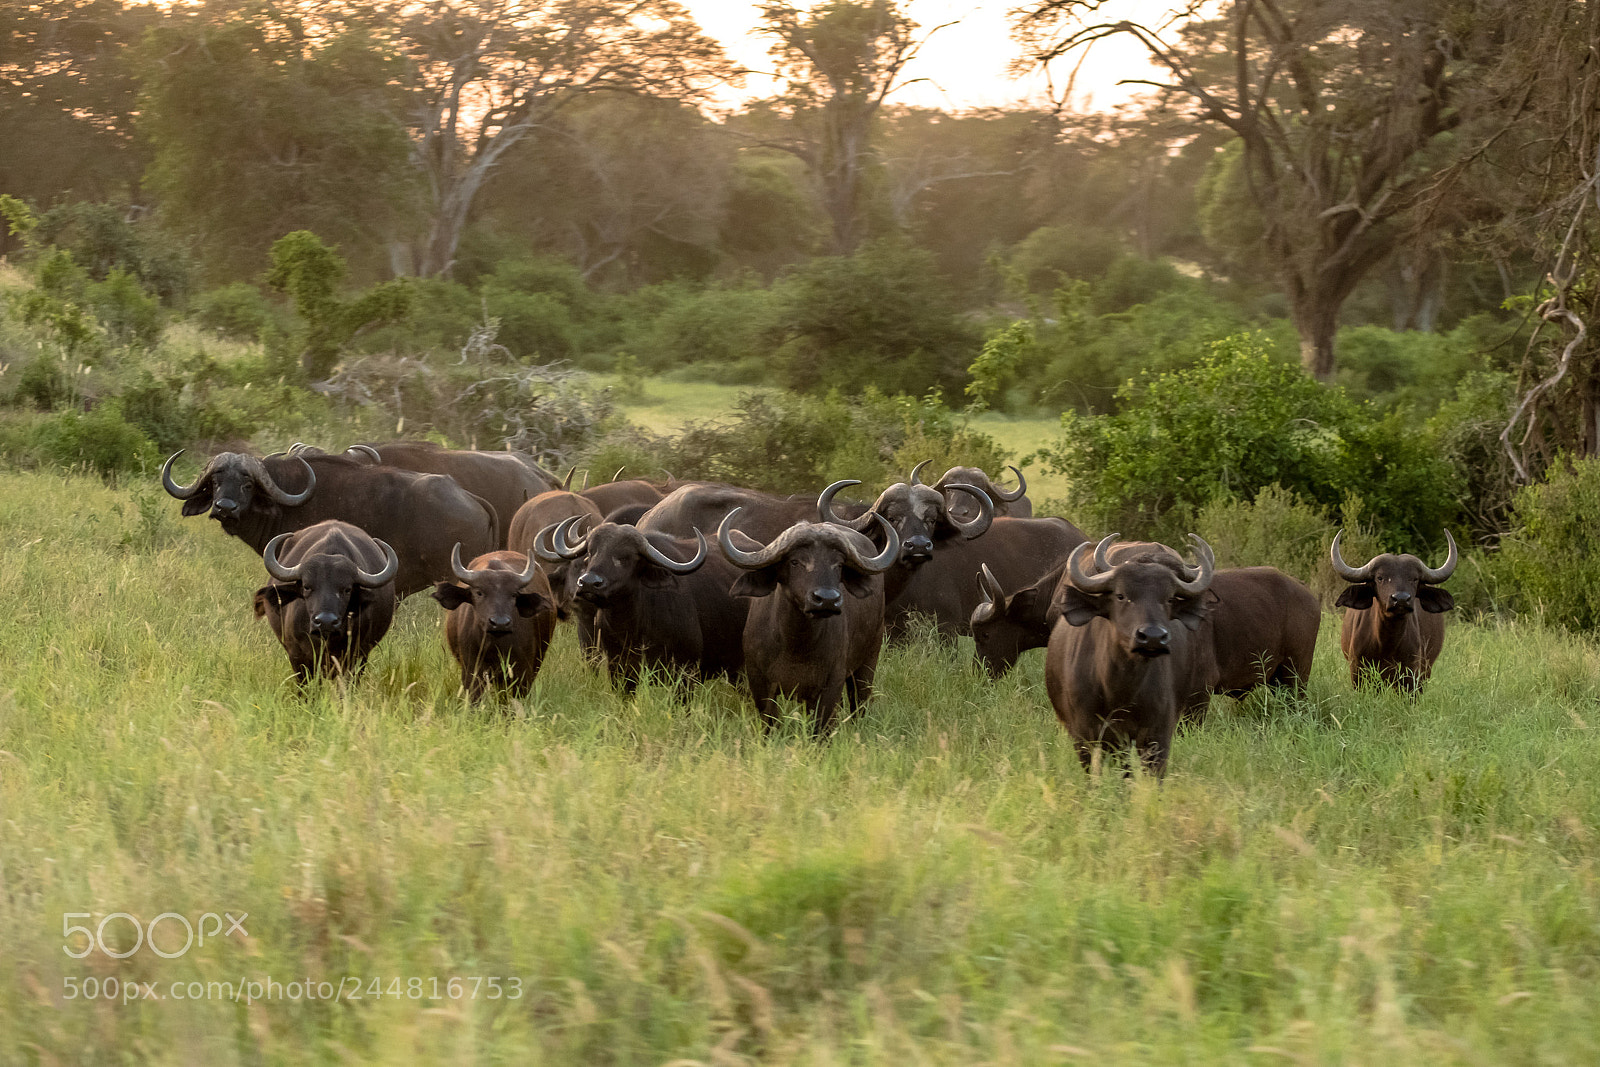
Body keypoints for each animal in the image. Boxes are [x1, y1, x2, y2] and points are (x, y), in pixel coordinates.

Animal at [431, 546, 556, 701]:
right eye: (479, 592)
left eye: (514, 594)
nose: (500, 623)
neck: (494, 645)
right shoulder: (471, 670)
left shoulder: (523, 670)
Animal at [718, 509, 900, 737]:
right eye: (795, 562)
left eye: (838, 565)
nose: (827, 599)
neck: (796, 644)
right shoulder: (758, 680)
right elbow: (770, 722)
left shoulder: (831, 683)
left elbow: (821, 727)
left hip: (869, 661)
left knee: (859, 704)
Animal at [1045, 534, 1216, 777]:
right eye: (1120, 595)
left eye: (1170, 598)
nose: (1153, 637)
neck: (1119, 688)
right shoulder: (1085, 732)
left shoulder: (1157, 732)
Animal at [1332, 530, 1458, 691]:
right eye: (1380, 577)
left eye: (1414, 579)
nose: (1401, 599)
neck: (1387, 644)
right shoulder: (1358, 672)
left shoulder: (1412, 676)